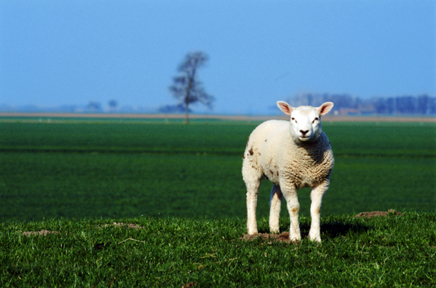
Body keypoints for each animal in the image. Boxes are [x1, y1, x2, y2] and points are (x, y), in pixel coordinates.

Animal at [242, 100, 334, 242]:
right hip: (252, 168)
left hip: (279, 174)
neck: (306, 162)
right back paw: (253, 230)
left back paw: (274, 229)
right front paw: (295, 237)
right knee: (252, 197)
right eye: (293, 118)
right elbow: (294, 208)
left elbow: (316, 209)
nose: (304, 131)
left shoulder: (322, 182)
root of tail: (270, 120)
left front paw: (315, 237)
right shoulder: (289, 181)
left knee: (275, 196)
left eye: (316, 119)